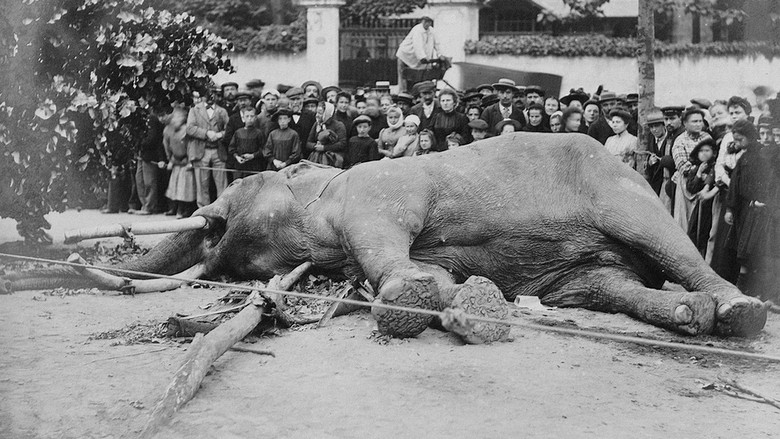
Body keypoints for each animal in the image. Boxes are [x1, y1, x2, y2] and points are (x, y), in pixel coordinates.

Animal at [2, 133, 768, 341]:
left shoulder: (375, 192)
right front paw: (460, 298)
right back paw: (689, 315)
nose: (211, 218)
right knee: (607, 285)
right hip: (584, 268)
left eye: (234, 200)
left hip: (621, 188)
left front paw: (415, 297)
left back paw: (740, 311)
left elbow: (385, 238)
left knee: (669, 242)